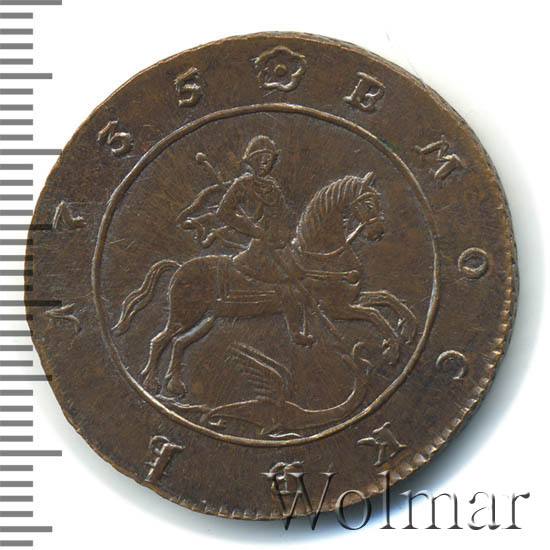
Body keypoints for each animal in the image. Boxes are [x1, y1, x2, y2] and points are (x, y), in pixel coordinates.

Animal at [112, 172, 417, 396]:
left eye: (377, 200)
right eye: (367, 203)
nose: (378, 232)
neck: (320, 255)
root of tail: (179, 268)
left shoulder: (350, 298)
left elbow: (387, 298)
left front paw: (408, 327)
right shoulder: (336, 308)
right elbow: (375, 314)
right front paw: (392, 348)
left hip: (206, 320)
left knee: (178, 344)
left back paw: (174, 385)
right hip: (185, 314)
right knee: (159, 340)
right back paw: (151, 382)